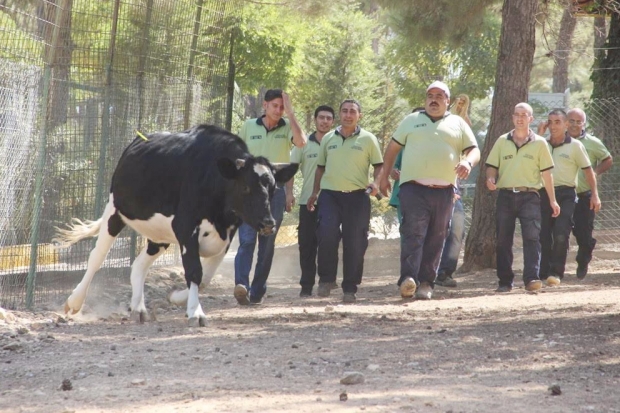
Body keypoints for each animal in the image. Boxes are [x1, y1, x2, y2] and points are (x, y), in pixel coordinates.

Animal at [54, 122, 300, 326]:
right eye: (246, 187)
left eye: (272, 188)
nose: (268, 223)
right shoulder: (186, 227)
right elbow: (194, 271)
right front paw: (195, 312)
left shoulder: (227, 235)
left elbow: (205, 276)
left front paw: (177, 297)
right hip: (115, 211)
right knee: (96, 258)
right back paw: (75, 302)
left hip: (159, 236)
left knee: (138, 266)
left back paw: (139, 308)